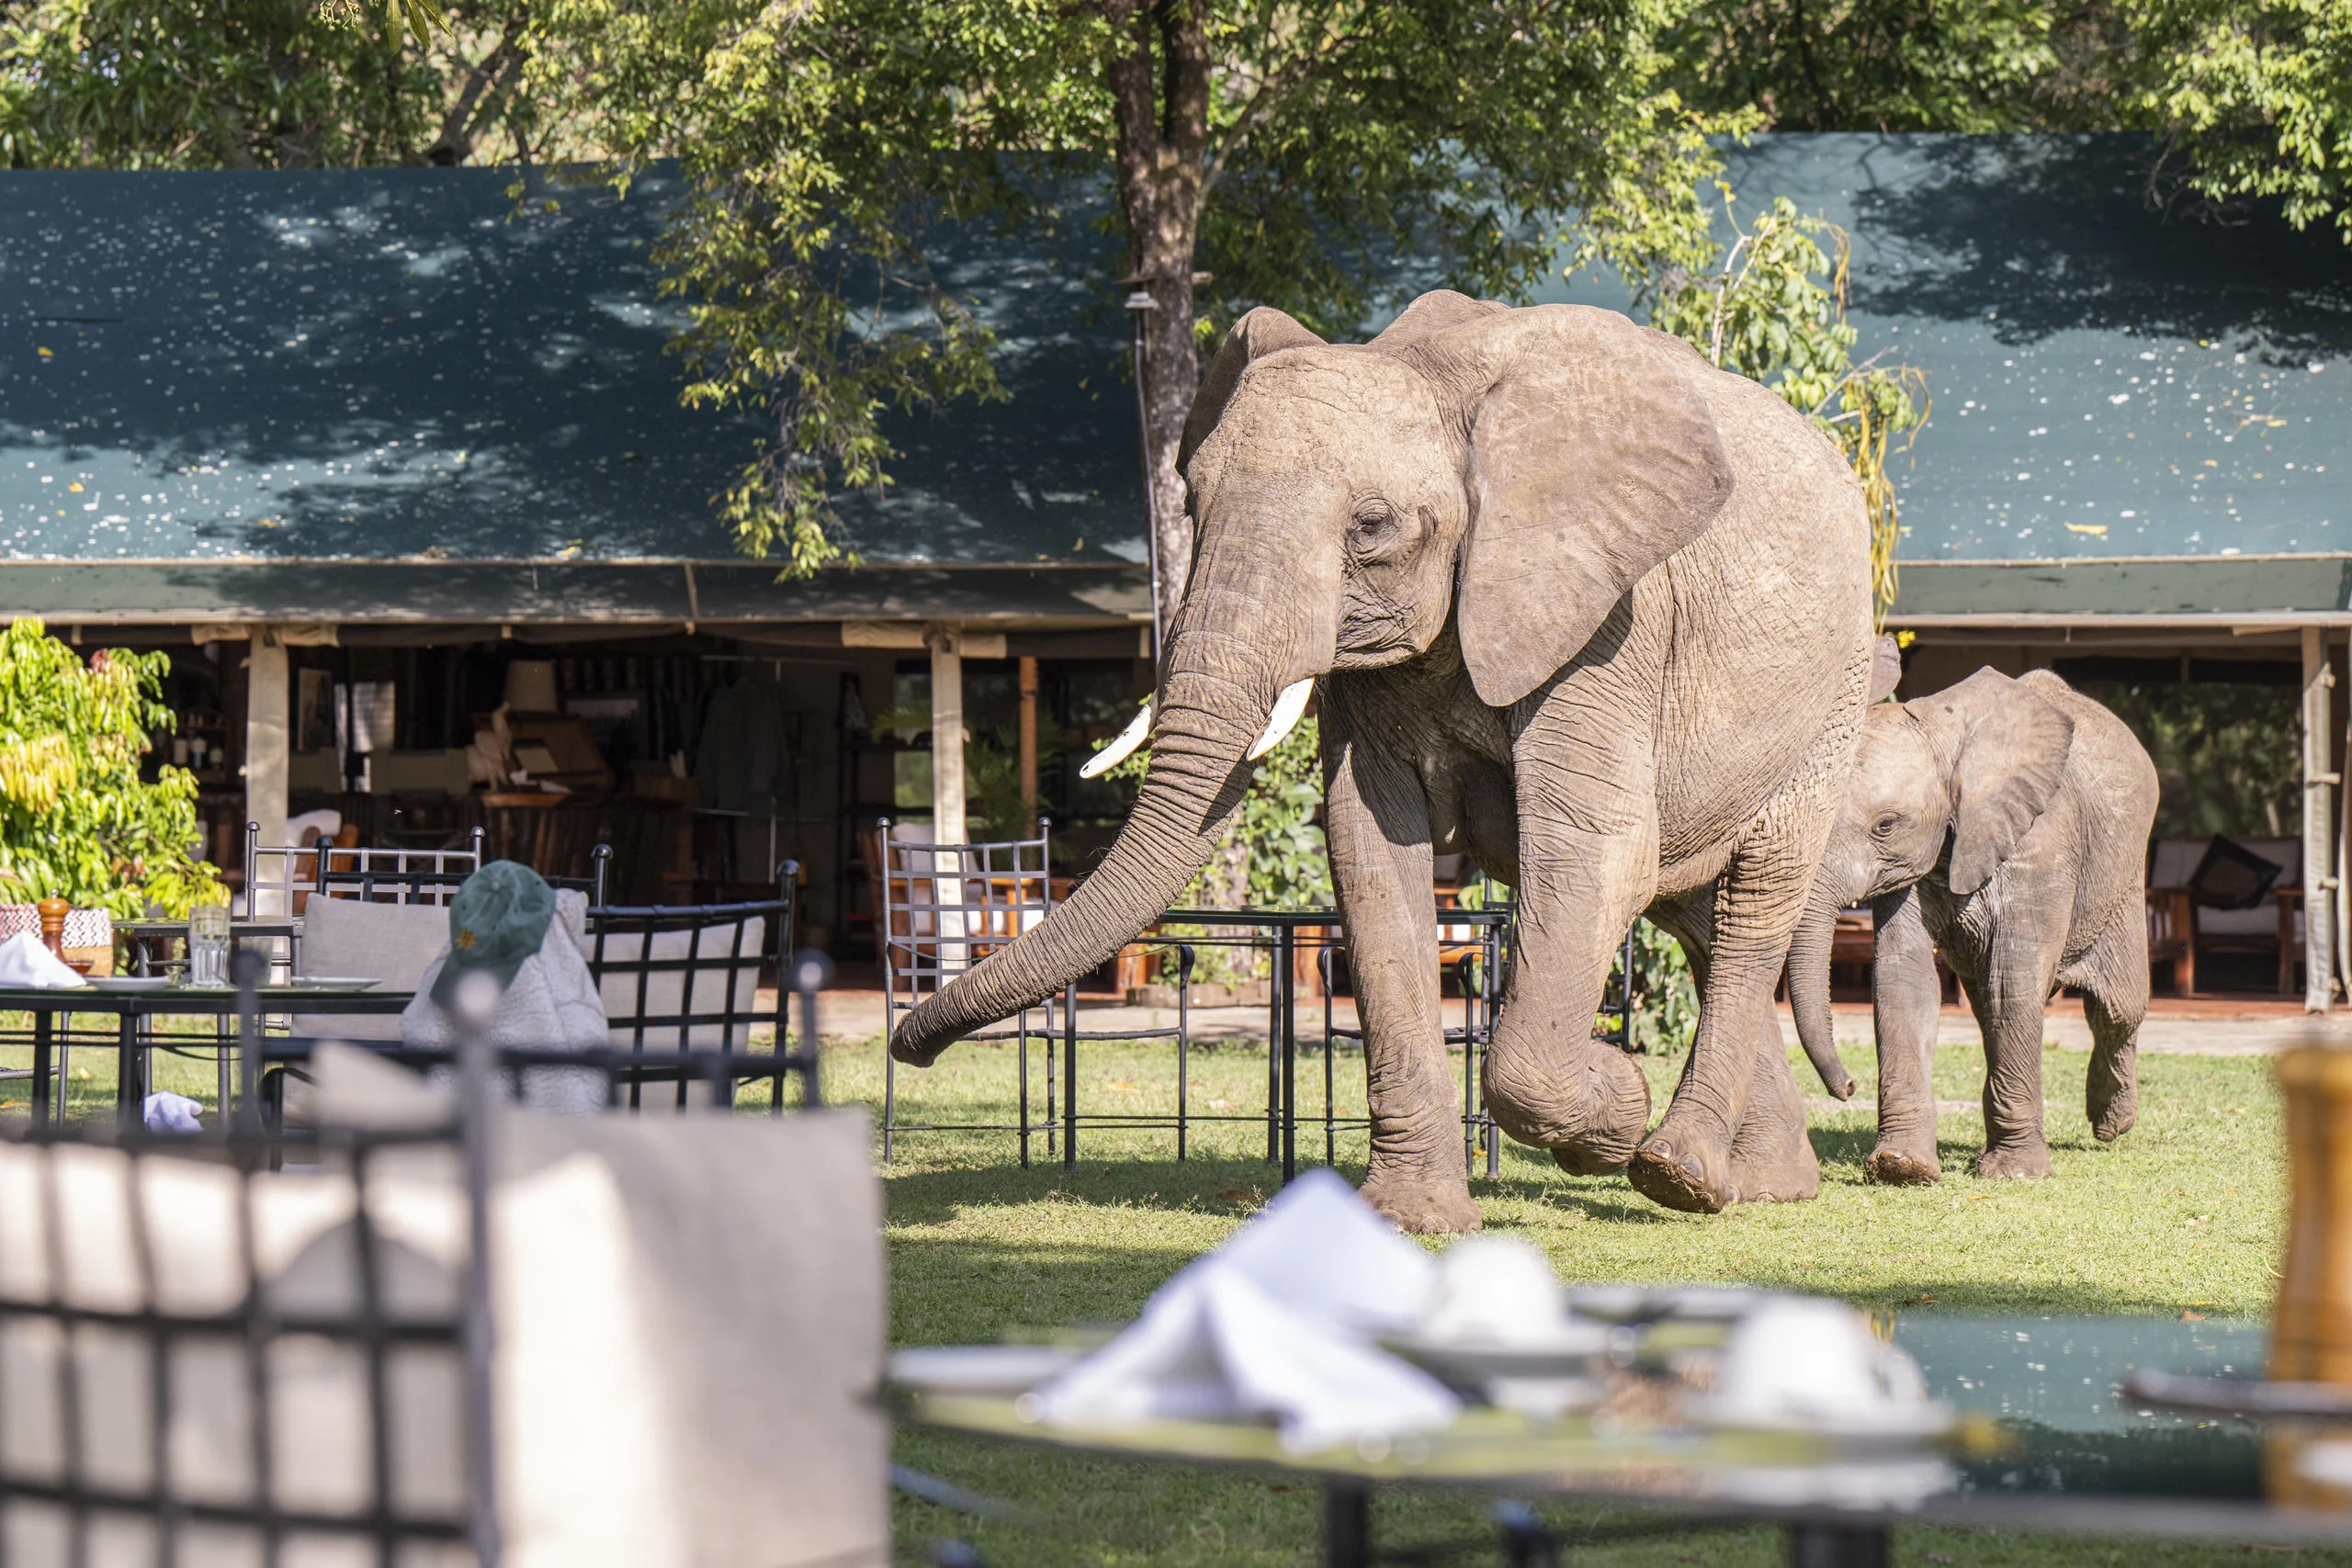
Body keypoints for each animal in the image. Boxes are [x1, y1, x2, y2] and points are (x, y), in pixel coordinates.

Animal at [888, 290, 1874, 1228]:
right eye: (1192, 508)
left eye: (1371, 525)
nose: (909, 1042)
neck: (1436, 375)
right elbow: (1370, 854)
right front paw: (1412, 1219)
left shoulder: (1607, 624)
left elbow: (1595, 850)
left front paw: (1614, 1104)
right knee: (1694, 911)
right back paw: (1761, 1185)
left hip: (1836, 694)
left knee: (1752, 906)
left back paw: (1677, 1173)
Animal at [1784, 661, 2160, 1183]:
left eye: (1885, 826)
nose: (1850, 1087)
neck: (1945, 735)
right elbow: (1903, 977)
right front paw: (1902, 1167)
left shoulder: (2043, 840)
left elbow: (2013, 979)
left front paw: (2015, 1173)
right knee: (1988, 1008)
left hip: (2122, 880)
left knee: (2117, 1008)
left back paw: (2111, 1126)